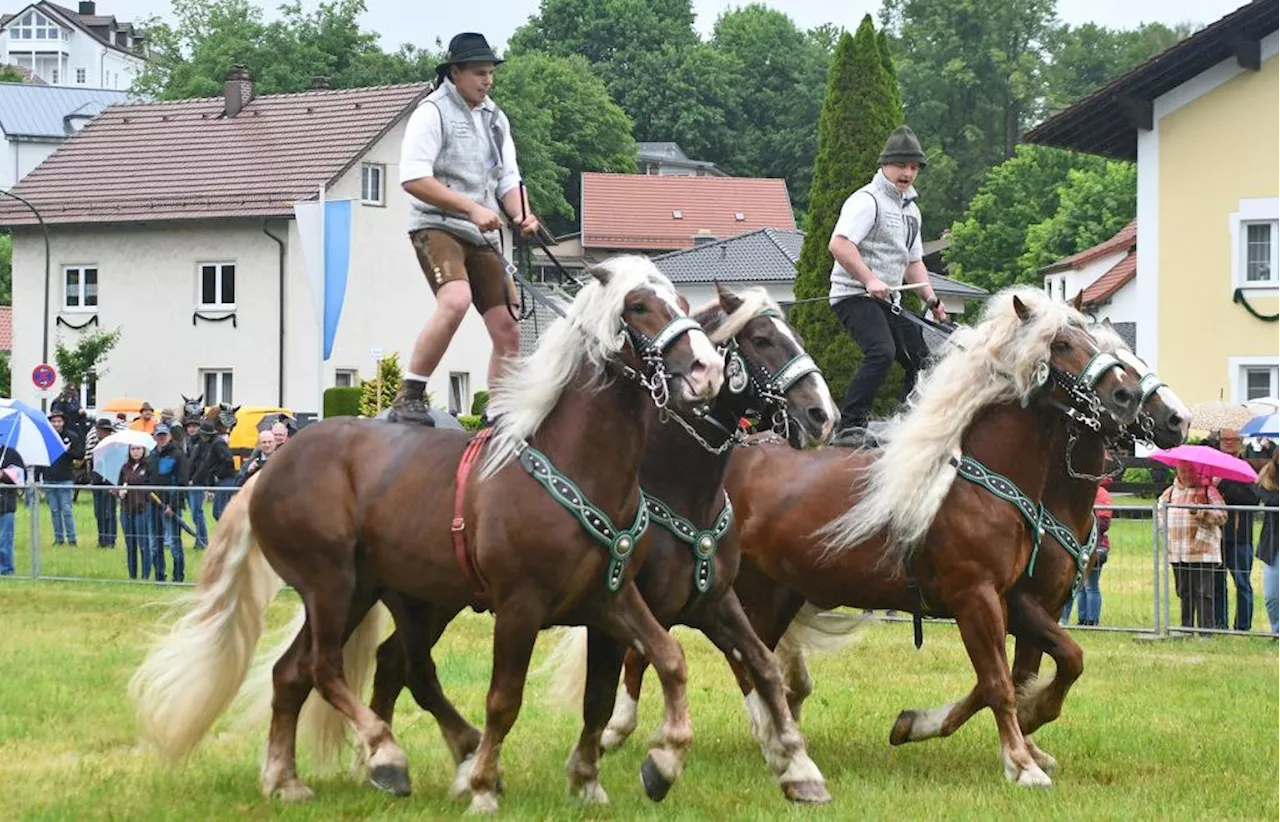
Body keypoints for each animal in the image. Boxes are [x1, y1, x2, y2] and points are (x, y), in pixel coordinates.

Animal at [132, 257, 732, 814]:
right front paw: (484, 786)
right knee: (326, 668)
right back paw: (388, 757)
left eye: (684, 301)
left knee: (294, 674)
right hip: (330, 585)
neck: (577, 466)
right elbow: (504, 700)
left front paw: (650, 765)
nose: (707, 371)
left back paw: (287, 779)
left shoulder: (608, 598)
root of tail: (268, 468)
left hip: (367, 591)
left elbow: (662, 661)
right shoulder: (520, 607)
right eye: (639, 306)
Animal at [350, 284, 844, 804]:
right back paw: (404, 760)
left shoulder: (711, 602)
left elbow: (761, 665)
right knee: (402, 665)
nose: (822, 416)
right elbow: (639, 669)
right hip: (430, 600)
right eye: (761, 339)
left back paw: (383, 763)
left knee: (392, 662)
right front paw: (651, 754)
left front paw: (797, 767)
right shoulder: (632, 608)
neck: (676, 486)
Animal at [604, 286, 1146, 778]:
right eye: (1062, 344)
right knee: (660, 647)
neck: (980, 481)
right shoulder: (977, 597)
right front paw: (1019, 759)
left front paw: (993, 731)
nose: (1127, 395)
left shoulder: (1019, 601)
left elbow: (1055, 663)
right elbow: (1001, 681)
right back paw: (625, 728)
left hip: (771, 594)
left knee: (751, 659)